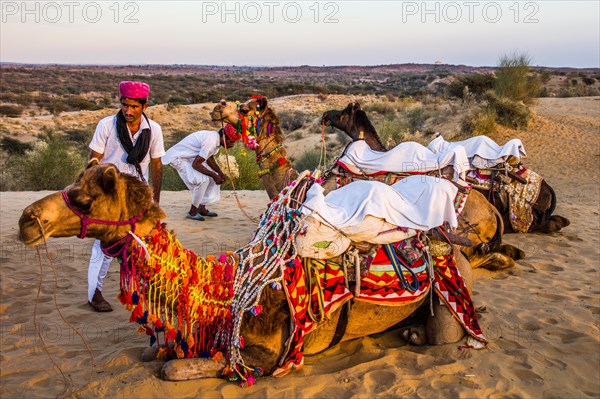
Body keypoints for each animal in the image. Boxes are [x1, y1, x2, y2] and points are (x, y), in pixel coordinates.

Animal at [19, 162, 488, 384]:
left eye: (84, 198)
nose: (26, 220)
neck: (225, 289)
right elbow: (156, 352)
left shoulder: (263, 355)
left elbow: (172, 369)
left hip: (454, 286)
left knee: (448, 335)